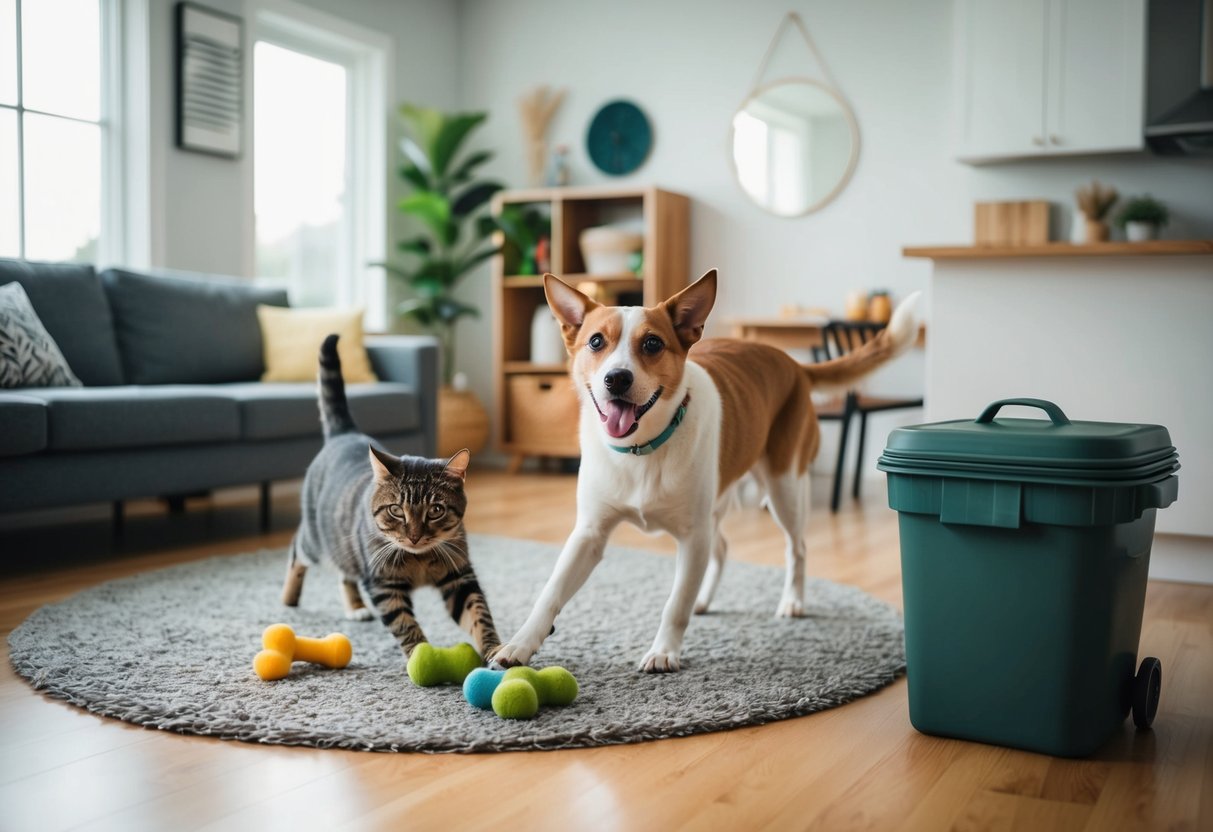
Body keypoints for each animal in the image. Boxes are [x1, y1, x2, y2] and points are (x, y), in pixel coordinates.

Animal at [281, 334, 499, 659]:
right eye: (396, 510)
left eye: (436, 510)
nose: (414, 536)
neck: (419, 559)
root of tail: (345, 433)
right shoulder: (383, 584)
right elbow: (405, 624)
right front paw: (421, 656)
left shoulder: (458, 576)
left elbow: (479, 614)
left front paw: (496, 651)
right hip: (318, 541)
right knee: (297, 549)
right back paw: (289, 596)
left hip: (344, 545)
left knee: (345, 572)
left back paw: (356, 607)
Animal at [487, 270, 912, 674]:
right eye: (595, 342)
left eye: (652, 344)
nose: (616, 378)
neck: (641, 448)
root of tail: (793, 363)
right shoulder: (589, 534)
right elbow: (550, 593)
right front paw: (519, 644)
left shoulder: (692, 536)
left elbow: (675, 604)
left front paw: (663, 651)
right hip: (720, 501)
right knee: (720, 548)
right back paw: (704, 600)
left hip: (783, 488)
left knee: (797, 548)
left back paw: (792, 600)